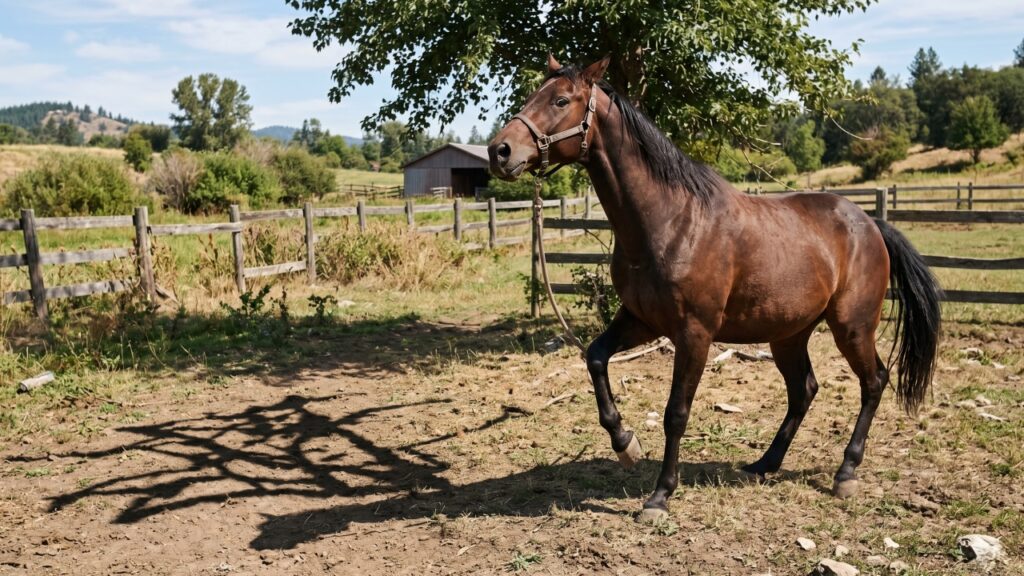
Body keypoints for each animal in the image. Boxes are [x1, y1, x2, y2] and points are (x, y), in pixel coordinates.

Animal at [488, 56, 942, 523]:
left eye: (561, 100)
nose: (499, 151)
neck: (670, 220)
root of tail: (871, 224)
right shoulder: (640, 320)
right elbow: (595, 357)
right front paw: (625, 443)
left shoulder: (694, 334)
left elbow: (676, 412)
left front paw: (660, 496)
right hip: (789, 333)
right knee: (804, 390)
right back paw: (764, 464)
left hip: (852, 327)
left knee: (874, 382)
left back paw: (846, 473)